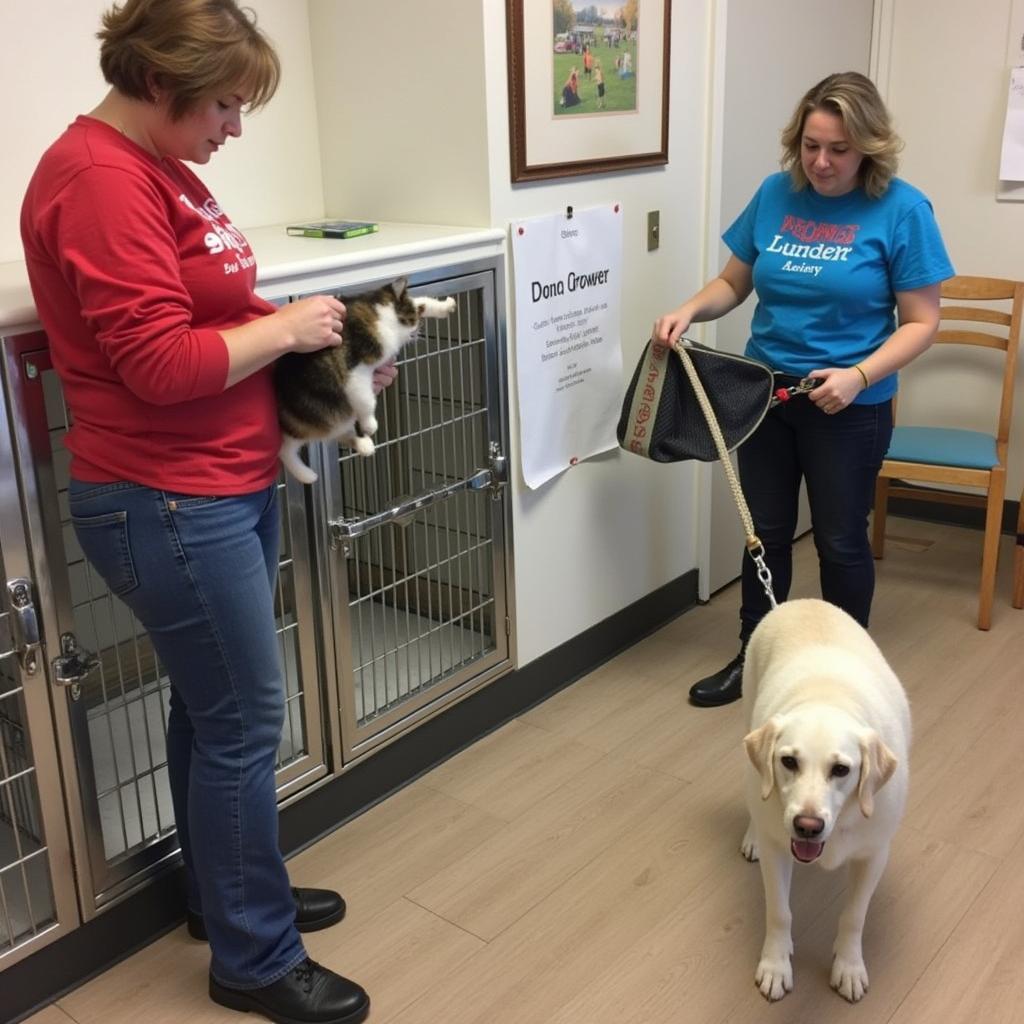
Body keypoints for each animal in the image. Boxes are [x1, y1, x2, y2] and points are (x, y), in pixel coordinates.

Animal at [278, 278, 458, 481]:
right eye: (413, 321)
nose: (418, 331)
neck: (380, 313)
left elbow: (422, 302)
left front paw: (446, 306)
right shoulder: (356, 371)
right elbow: (366, 400)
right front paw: (370, 424)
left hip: (336, 419)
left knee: (337, 433)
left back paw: (364, 446)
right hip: (306, 419)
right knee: (285, 449)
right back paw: (306, 475)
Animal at [741, 598, 909, 1003]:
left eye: (841, 769)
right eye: (788, 761)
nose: (807, 826)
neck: (828, 696)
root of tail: (801, 601)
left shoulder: (873, 854)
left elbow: (854, 916)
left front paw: (848, 966)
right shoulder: (777, 850)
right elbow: (779, 912)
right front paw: (776, 965)